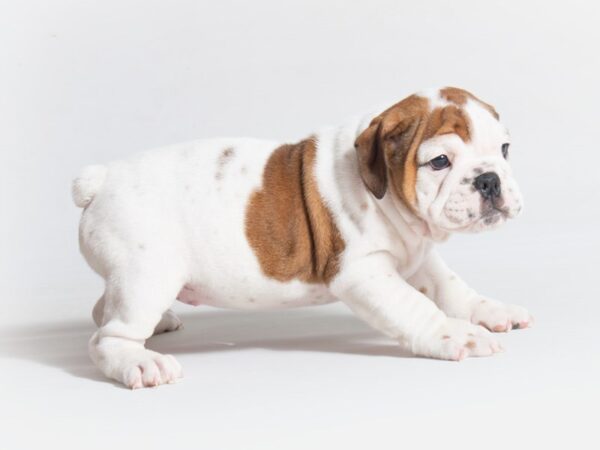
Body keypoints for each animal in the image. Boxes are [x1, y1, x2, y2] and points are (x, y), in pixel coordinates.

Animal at [72, 87, 532, 386]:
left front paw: (491, 312)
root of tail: (102, 178)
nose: (490, 180)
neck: (380, 188)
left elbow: (451, 288)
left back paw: (159, 323)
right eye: (439, 162)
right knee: (107, 336)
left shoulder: (417, 256)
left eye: (504, 150)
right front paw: (458, 335)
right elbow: (417, 306)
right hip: (148, 275)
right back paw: (140, 363)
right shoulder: (364, 275)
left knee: (102, 308)